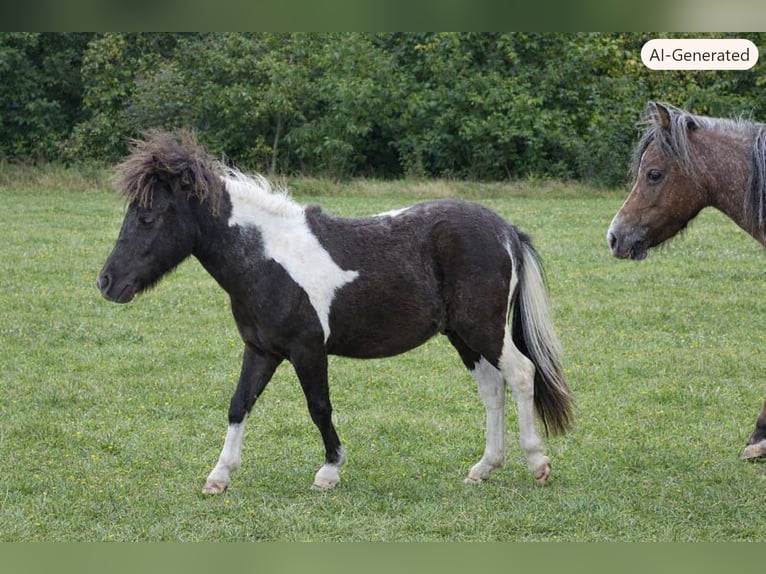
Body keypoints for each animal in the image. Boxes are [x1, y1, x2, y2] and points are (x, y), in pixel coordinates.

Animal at [97, 130, 573, 493]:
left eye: (147, 216)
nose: (106, 282)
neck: (268, 258)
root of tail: (505, 230)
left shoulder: (307, 350)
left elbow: (319, 406)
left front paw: (329, 470)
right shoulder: (261, 350)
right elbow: (239, 404)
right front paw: (219, 476)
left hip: (484, 329)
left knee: (521, 374)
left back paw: (537, 463)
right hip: (463, 336)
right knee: (492, 389)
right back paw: (483, 468)